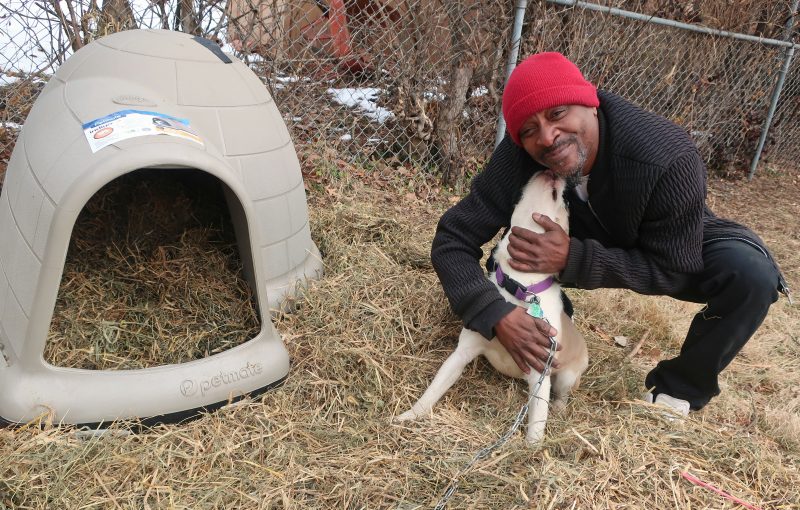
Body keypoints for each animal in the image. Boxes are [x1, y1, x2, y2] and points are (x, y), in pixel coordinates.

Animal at [398, 171, 592, 442]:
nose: (551, 171)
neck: (520, 287)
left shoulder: (540, 375)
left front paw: (531, 448)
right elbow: (434, 389)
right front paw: (409, 416)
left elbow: (537, 421)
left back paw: (560, 408)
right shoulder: (462, 353)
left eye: (566, 204)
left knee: (561, 394)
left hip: (566, 375)